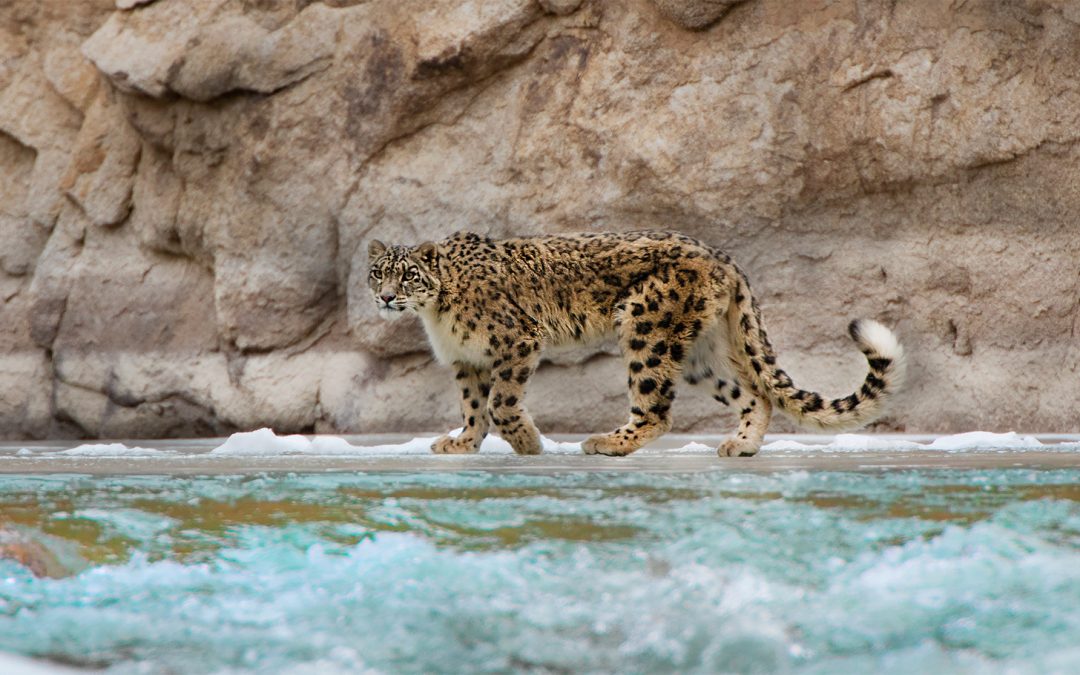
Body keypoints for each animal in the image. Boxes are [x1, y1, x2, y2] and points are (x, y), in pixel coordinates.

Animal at [365, 230, 905, 458]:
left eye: (409, 275)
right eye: (377, 272)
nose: (387, 297)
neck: (436, 316)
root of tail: (722, 256)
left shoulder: (516, 343)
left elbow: (500, 403)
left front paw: (528, 444)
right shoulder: (466, 362)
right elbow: (474, 407)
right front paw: (462, 443)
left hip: (647, 329)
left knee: (656, 411)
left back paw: (607, 442)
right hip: (700, 354)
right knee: (755, 394)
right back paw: (741, 445)